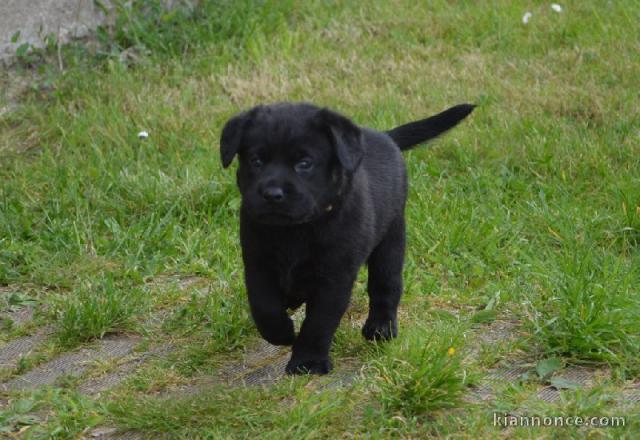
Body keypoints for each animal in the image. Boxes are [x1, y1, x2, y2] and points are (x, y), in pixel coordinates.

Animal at [220, 103, 476, 374]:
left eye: (304, 163)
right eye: (256, 161)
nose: (271, 194)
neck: (295, 231)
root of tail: (384, 136)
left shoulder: (335, 276)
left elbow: (319, 322)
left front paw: (307, 362)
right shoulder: (258, 264)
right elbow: (264, 307)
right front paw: (282, 333)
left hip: (391, 240)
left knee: (386, 285)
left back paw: (381, 327)